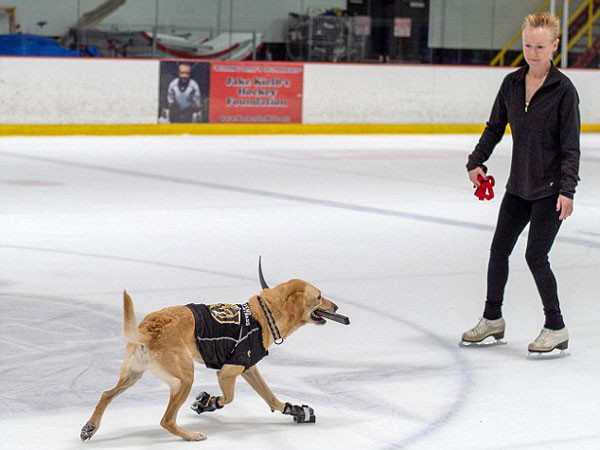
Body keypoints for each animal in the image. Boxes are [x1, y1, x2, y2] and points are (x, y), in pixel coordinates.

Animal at [81, 268, 340, 442]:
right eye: (319, 296)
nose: (337, 307)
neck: (265, 314)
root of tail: (148, 328)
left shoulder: (249, 369)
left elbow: (271, 398)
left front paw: (296, 410)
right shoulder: (227, 372)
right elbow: (229, 398)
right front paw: (208, 402)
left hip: (133, 375)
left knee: (106, 394)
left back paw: (90, 427)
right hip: (185, 378)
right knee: (167, 420)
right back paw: (190, 435)